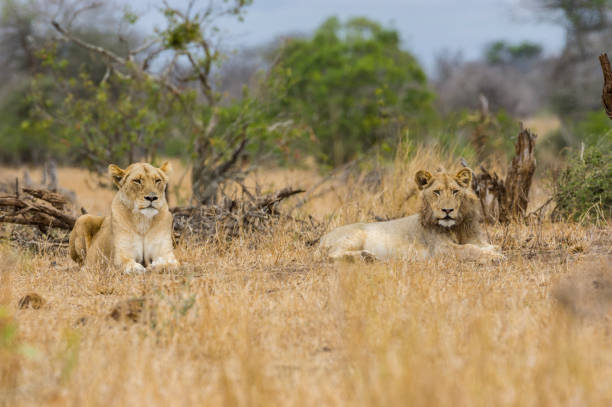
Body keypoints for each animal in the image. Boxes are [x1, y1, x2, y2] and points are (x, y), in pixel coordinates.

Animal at [320, 168, 502, 262]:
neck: (456, 227)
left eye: (455, 191)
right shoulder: (440, 249)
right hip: (354, 235)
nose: (447, 211)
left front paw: (494, 250)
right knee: (331, 255)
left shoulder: (474, 238)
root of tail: (322, 238)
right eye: (437, 192)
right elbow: (470, 249)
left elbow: (484, 245)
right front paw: (496, 257)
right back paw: (366, 256)